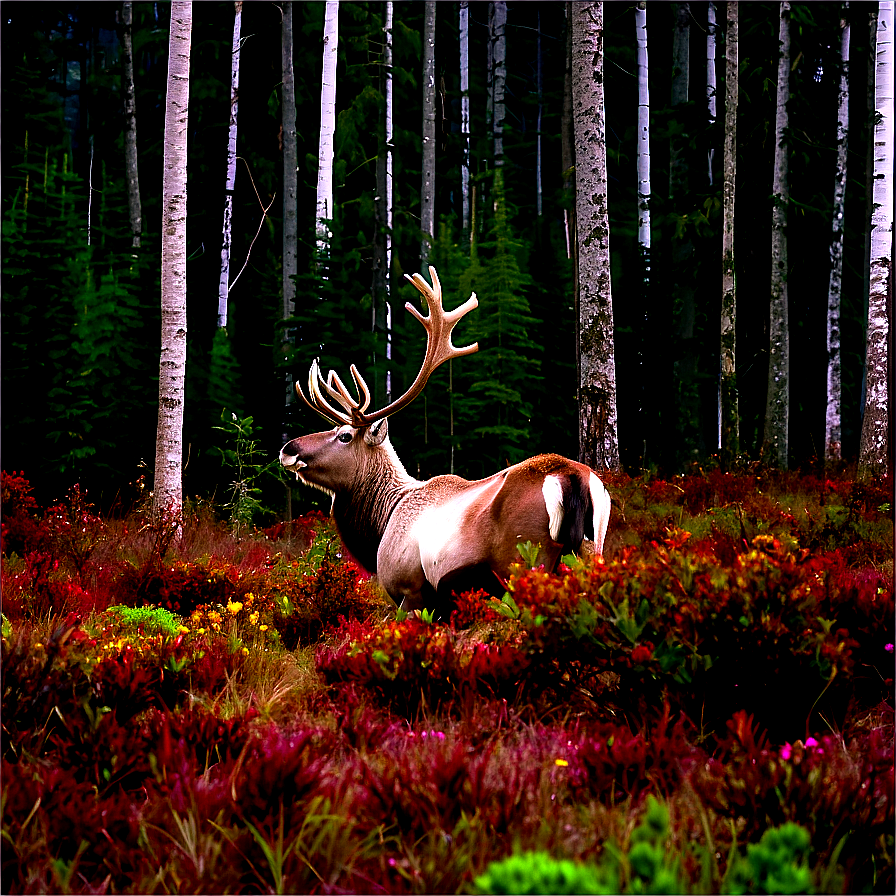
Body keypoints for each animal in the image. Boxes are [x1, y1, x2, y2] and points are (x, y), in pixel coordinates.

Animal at [280, 266, 612, 616]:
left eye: (344, 435)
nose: (288, 450)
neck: (381, 523)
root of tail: (571, 477)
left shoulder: (408, 588)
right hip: (592, 550)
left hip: (524, 562)